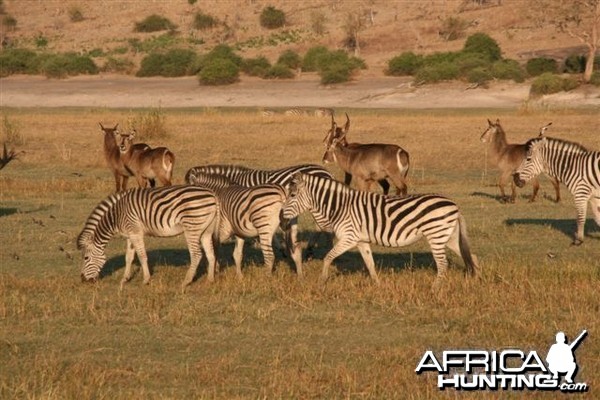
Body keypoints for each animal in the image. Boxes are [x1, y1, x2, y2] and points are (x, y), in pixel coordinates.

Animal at [76, 186, 219, 290]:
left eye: (86, 258)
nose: (83, 280)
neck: (116, 215)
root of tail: (213, 195)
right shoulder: (130, 235)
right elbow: (128, 257)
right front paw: (125, 279)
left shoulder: (136, 232)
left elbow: (142, 256)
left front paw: (146, 280)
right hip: (206, 231)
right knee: (211, 254)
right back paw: (210, 280)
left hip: (191, 227)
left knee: (196, 254)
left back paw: (186, 281)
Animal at [282, 173, 482, 288]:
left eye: (292, 195)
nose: (282, 218)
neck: (341, 207)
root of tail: (454, 205)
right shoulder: (361, 240)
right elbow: (370, 263)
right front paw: (378, 286)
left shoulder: (349, 237)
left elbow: (328, 257)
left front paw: (322, 281)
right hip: (449, 236)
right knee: (472, 256)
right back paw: (475, 280)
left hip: (437, 235)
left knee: (442, 264)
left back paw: (435, 288)